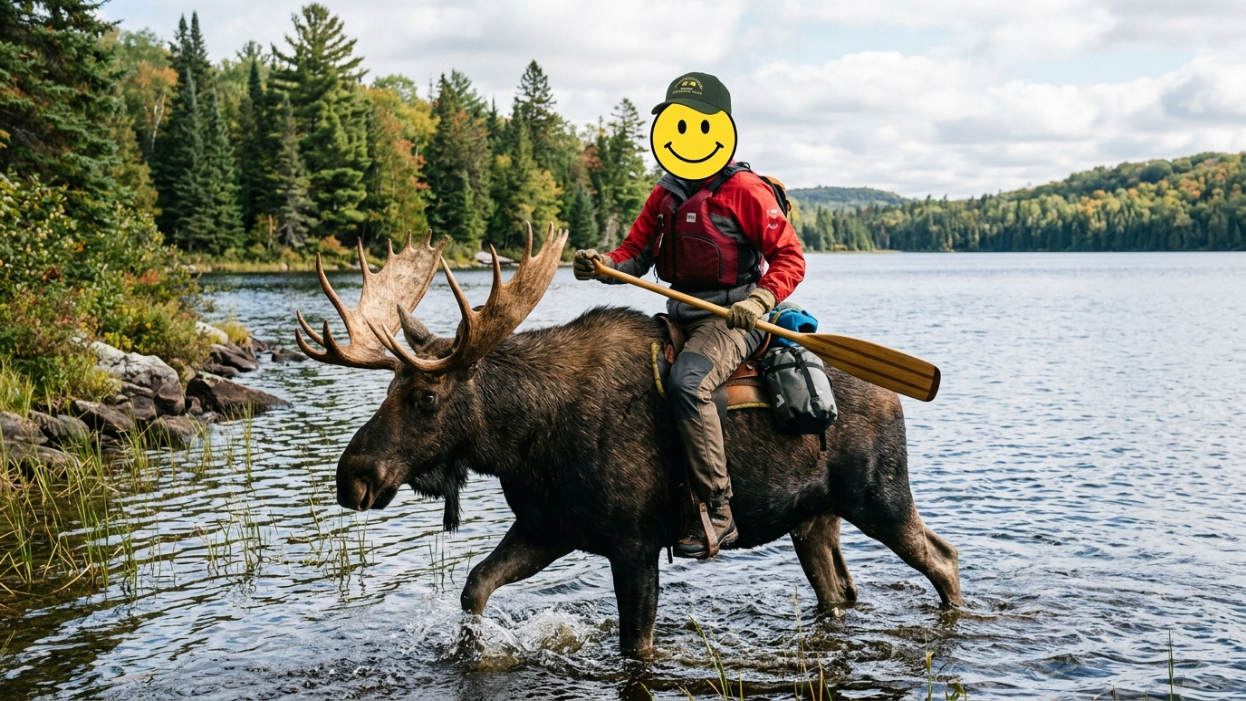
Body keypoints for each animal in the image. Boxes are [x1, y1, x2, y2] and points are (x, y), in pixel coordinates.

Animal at [295, 224, 962, 656]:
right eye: (390, 389)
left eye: (427, 398)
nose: (352, 477)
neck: (526, 442)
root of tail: (896, 397)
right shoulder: (548, 526)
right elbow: (474, 587)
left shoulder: (635, 543)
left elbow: (636, 646)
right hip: (813, 519)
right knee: (842, 591)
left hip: (880, 496)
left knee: (944, 557)